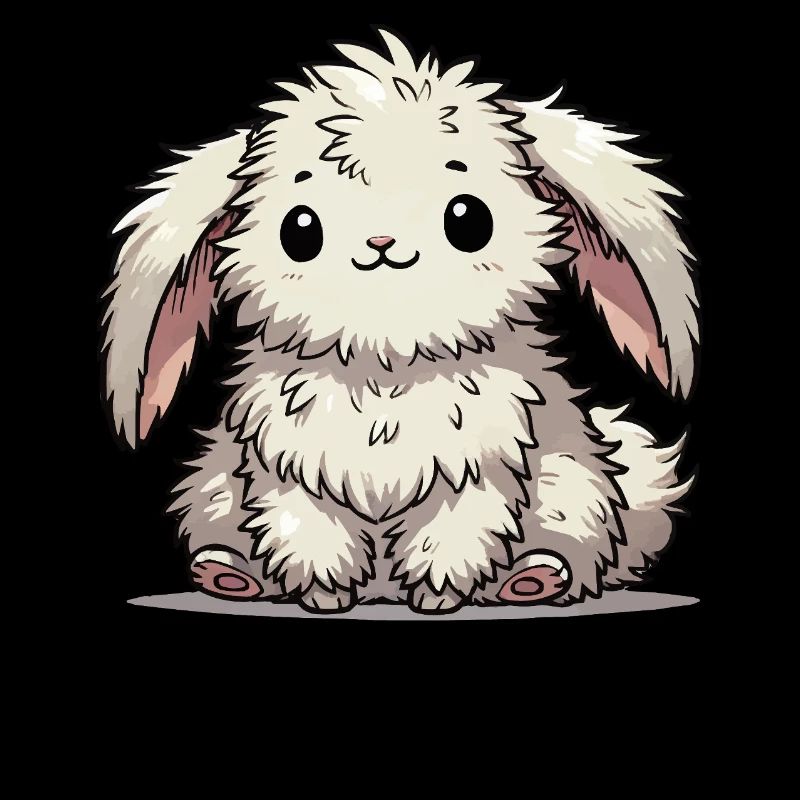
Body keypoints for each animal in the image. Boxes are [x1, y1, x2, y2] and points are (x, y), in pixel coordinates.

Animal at [102, 29, 698, 614]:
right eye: (300, 229)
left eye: (468, 219)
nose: (381, 242)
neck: (387, 363)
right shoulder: (288, 465)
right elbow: (308, 525)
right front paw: (323, 590)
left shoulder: (479, 467)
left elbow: (458, 527)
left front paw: (439, 591)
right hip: (213, 486)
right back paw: (230, 575)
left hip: (578, 482)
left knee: (581, 537)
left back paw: (533, 578)